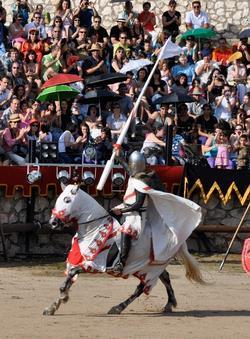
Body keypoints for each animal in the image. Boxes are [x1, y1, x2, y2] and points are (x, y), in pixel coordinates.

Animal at [43, 183, 205, 316]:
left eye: (67, 200)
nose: (53, 222)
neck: (94, 228)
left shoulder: (94, 265)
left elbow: (71, 274)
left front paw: (63, 297)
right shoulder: (78, 261)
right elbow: (69, 279)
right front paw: (52, 307)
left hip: (150, 269)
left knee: (141, 288)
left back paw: (118, 308)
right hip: (148, 267)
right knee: (164, 278)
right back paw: (169, 304)